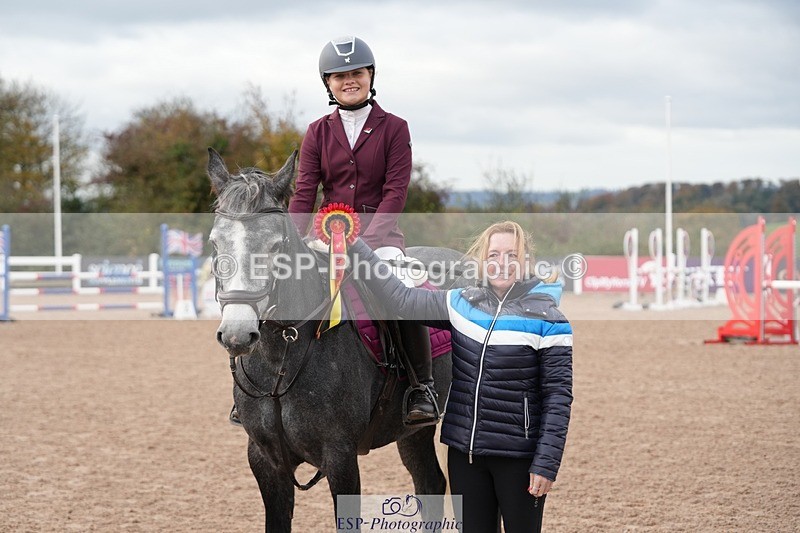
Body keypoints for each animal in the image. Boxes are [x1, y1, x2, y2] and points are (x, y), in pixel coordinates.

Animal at [206, 148, 461, 532]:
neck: (282, 358)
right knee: (429, 482)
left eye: (276, 246)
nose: (237, 333)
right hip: (411, 433)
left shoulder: (340, 458)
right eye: (214, 242)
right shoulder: (266, 461)